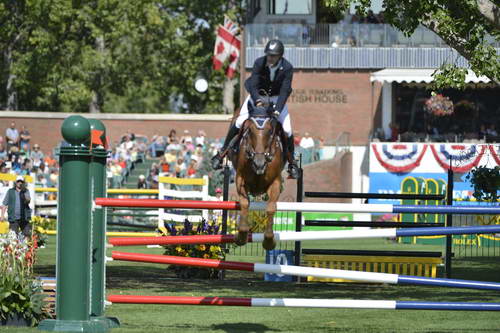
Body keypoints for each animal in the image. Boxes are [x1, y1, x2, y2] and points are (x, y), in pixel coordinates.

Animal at [229, 101, 288, 249]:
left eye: (270, 131)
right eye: (249, 130)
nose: (259, 164)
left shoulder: (275, 182)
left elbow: (271, 207)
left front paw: (269, 241)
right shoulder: (240, 180)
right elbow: (244, 203)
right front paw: (241, 236)